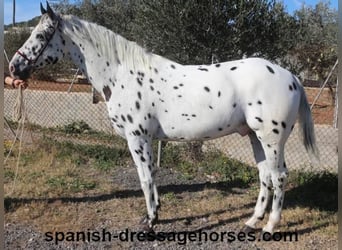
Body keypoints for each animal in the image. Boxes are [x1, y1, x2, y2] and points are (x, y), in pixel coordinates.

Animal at [9, 2, 318, 235]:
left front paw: (151, 222)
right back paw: (252, 222)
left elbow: (145, 178)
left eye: (41, 36)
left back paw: (270, 227)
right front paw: (154, 215)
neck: (122, 74)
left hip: (271, 138)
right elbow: (150, 176)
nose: (14, 67)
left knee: (279, 176)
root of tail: (291, 77)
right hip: (255, 136)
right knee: (265, 176)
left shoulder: (138, 137)